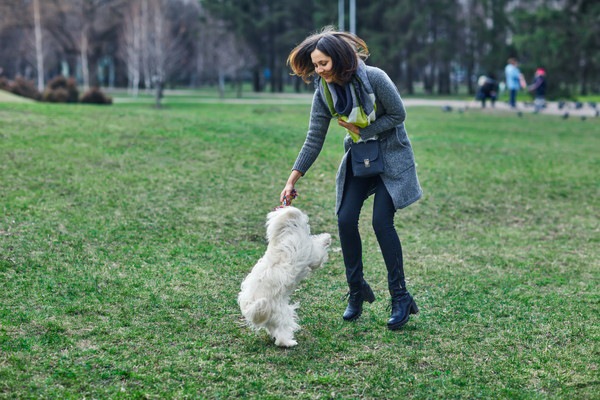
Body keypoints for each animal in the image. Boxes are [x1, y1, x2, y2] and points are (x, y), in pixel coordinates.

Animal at [237, 206, 330, 346]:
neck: (284, 235)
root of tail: (252, 307)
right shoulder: (312, 253)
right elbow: (318, 251)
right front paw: (327, 238)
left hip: (271, 317)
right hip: (281, 314)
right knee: (281, 334)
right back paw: (289, 342)